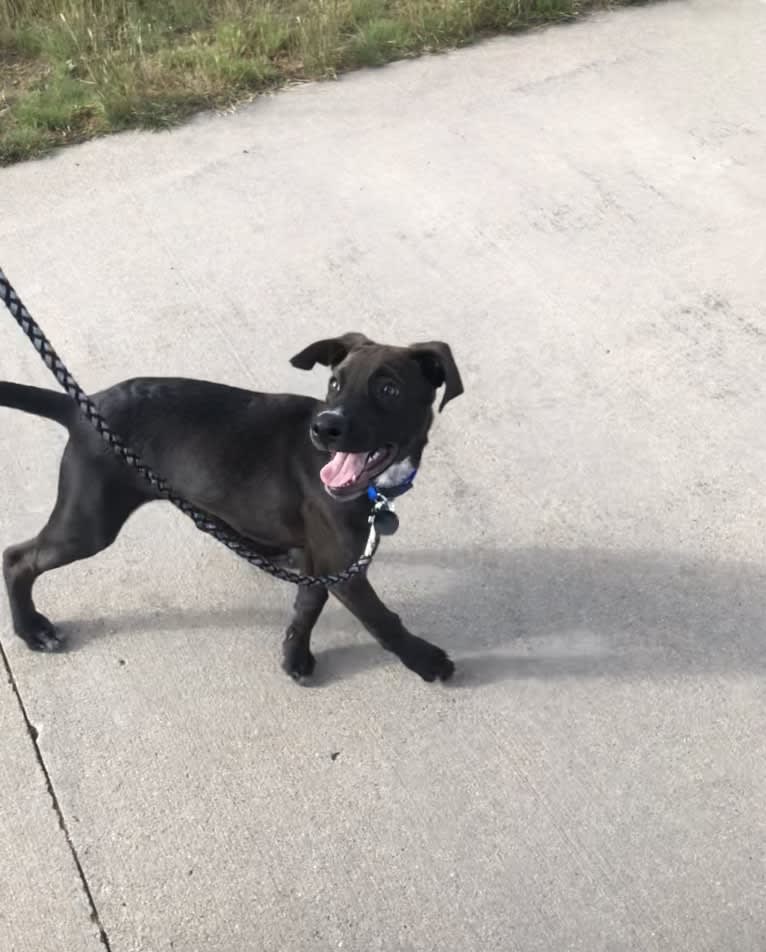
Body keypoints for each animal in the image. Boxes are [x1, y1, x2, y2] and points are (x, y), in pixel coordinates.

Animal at [0, 330, 464, 680]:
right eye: (335, 384)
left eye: (389, 389)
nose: (323, 428)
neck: (371, 489)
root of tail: (82, 406)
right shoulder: (343, 567)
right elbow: (382, 620)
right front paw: (425, 660)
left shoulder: (321, 558)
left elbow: (308, 604)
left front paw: (294, 653)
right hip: (90, 522)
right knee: (17, 558)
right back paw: (31, 630)